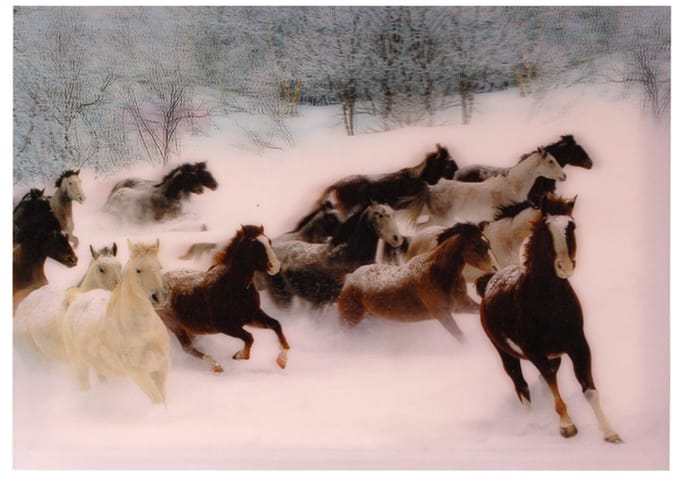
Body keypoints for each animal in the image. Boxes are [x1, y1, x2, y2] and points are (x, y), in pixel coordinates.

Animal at [61, 240, 169, 404]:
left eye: (159, 267)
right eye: (138, 270)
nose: (159, 297)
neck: (145, 333)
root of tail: (78, 298)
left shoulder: (161, 367)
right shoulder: (138, 373)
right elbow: (158, 400)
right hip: (80, 366)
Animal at [155, 225, 289, 373]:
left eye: (269, 241)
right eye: (254, 245)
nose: (275, 266)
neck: (231, 287)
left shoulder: (252, 317)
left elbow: (276, 325)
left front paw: (282, 361)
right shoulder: (225, 326)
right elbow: (249, 338)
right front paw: (239, 356)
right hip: (175, 326)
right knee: (187, 348)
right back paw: (216, 366)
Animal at [338, 223, 496, 341]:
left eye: (488, 243)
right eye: (476, 244)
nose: (494, 268)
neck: (440, 272)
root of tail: (349, 278)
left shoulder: (462, 305)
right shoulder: (442, 314)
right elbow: (461, 337)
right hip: (349, 321)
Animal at [476, 207, 622, 443]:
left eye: (572, 226)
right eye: (546, 231)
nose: (565, 266)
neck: (550, 304)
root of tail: (488, 282)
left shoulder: (578, 345)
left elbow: (589, 390)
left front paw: (610, 433)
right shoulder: (535, 353)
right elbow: (552, 385)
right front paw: (567, 426)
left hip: (555, 356)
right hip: (505, 354)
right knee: (521, 386)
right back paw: (531, 422)